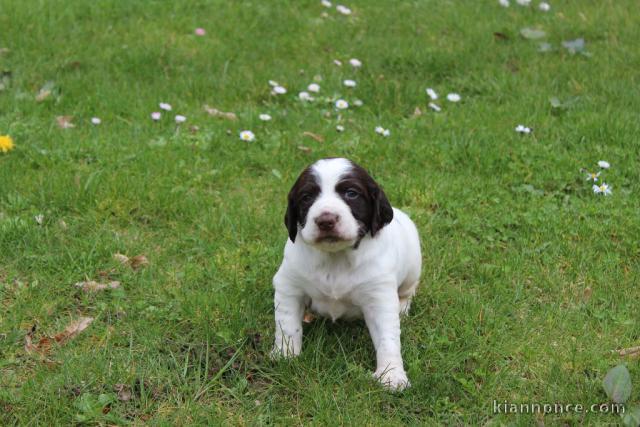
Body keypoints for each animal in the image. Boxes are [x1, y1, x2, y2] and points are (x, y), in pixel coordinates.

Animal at [272, 157, 422, 392]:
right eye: (306, 197)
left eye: (351, 193)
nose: (326, 220)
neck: (336, 257)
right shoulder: (289, 286)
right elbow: (287, 325)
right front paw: (285, 355)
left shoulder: (378, 297)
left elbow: (388, 338)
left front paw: (392, 375)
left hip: (413, 268)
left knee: (407, 292)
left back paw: (403, 309)